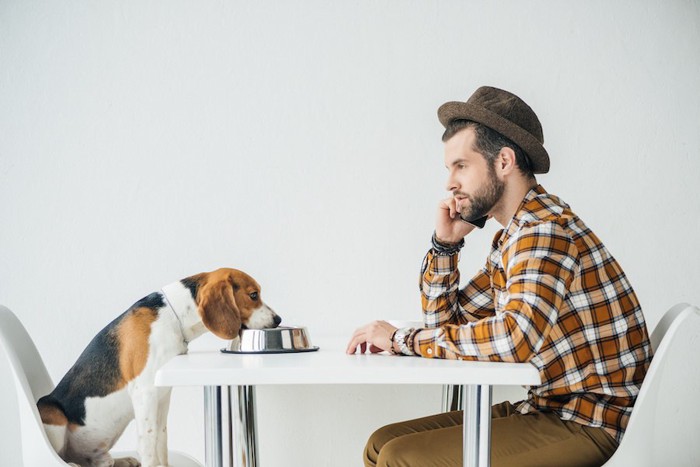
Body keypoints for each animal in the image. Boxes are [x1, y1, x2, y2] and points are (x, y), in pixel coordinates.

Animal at [0, 306, 202, 466]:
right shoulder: (144, 393)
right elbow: (149, 442)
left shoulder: (162, 396)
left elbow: (161, 439)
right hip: (53, 414)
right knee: (64, 457)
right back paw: (73, 464)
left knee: (102, 463)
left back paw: (123, 460)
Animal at [35, 268, 280, 466]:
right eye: (254, 295)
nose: (278, 319)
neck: (172, 315)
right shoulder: (144, 392)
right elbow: (148, 443)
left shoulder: (162, 395)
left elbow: (161, 439)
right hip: (52, 413)